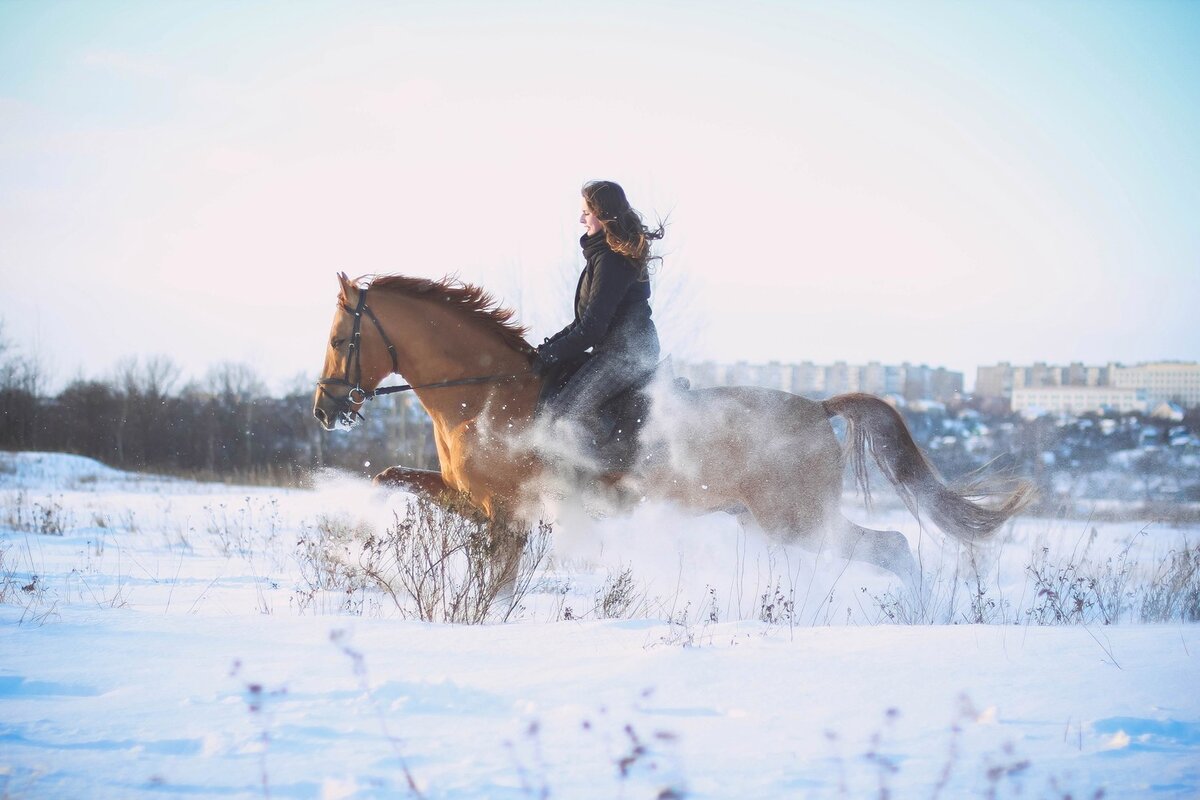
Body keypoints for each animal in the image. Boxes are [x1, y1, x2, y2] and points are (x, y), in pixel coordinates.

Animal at [316, 273, 1032, 582]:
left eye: (337, 338)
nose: (324, 409)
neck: (485, 398)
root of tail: (817, 409)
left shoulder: (507, 511)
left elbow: (498, 582)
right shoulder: (475, 499)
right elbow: (392, 479)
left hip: (795, 519)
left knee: (893, 549)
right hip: (768, 521)